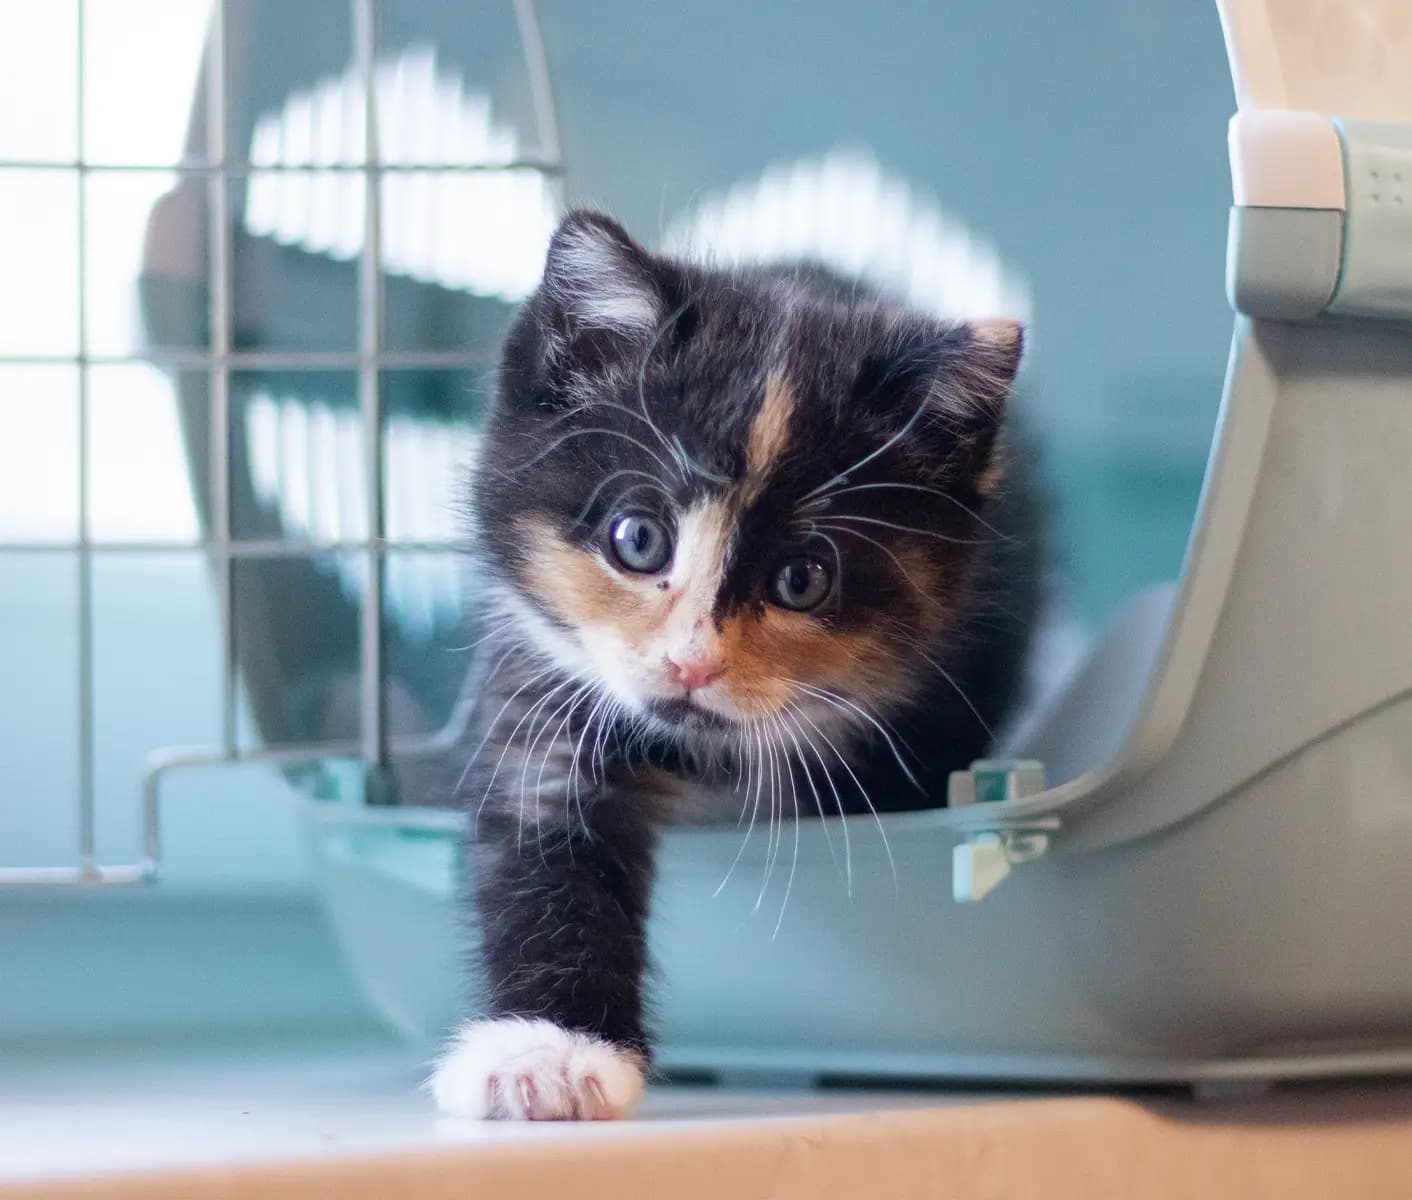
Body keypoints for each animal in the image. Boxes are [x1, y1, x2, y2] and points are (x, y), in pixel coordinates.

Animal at [426, 210, 1039, 1118]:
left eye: (802, 580)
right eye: (638, 539)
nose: (693, 664)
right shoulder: (545, 687)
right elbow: (544, 836)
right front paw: (545, 1052)